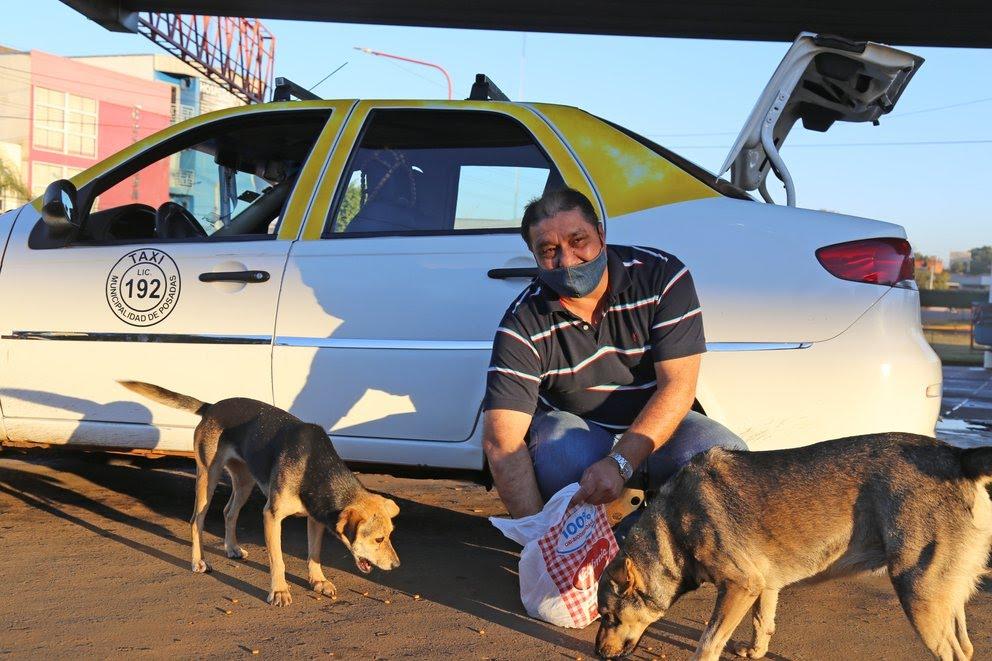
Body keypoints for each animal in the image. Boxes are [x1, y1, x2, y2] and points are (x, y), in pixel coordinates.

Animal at [122, 378, 402, 604]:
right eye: (378, 539)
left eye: (390, 534)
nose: (397, 565)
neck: (315, 466)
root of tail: (211, 407)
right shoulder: (272, 516)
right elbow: (278, 560)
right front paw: (279, 591)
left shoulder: (315, 519)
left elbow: (314, 553)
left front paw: (318, 580)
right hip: (207, 478)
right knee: (196, 520)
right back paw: (198, 561)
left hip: (245, 481)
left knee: (229, 512)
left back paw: (232, 548)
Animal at [596, 434, 992, 660]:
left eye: (610, 617)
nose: (599, 652)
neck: (673, 523)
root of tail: (958, 455)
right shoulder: (763, 585)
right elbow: (762, 622)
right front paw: (756, 651)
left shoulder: (740, 586)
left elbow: (708, 641)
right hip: (943, 594)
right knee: (967, 647)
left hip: (919, 594)